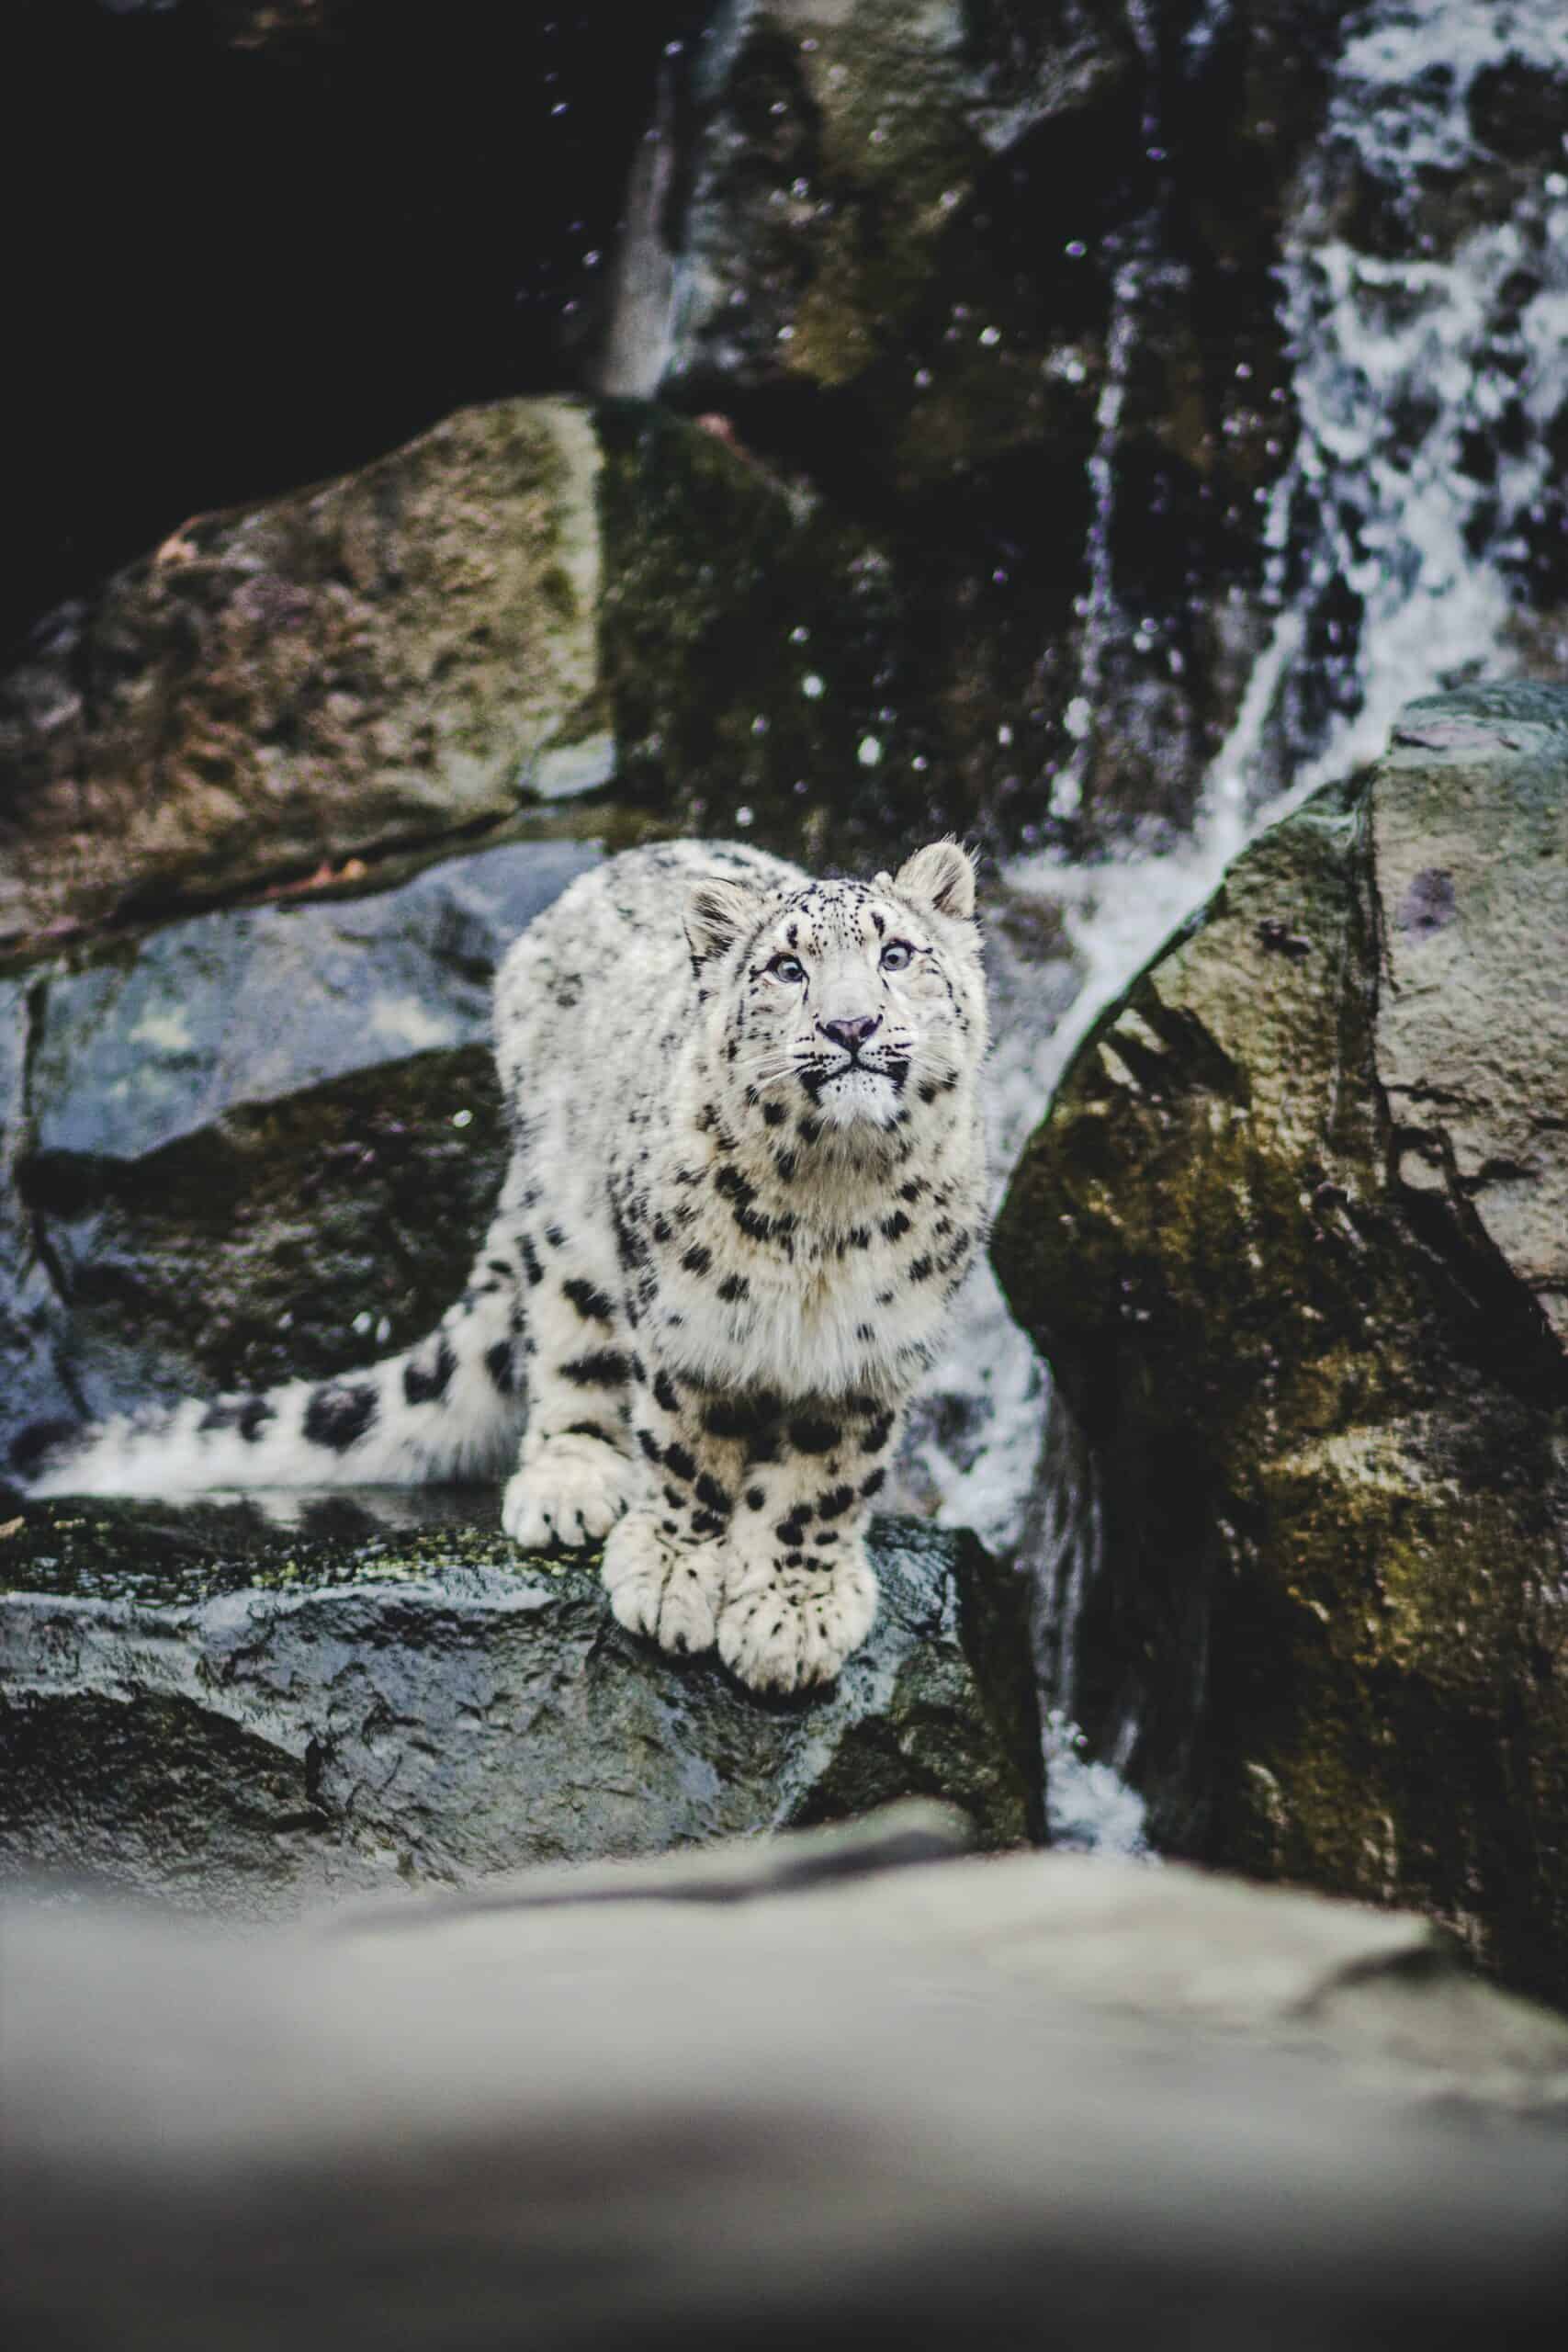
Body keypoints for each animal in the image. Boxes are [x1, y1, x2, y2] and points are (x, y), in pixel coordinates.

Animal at [24, 846, 987, 1693]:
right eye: (787, 968)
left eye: (897, 955)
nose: (851, 1026)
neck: (830, 1207)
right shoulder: (687, 1323)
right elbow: (687, 1447)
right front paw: (674, 1574)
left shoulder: (870, 1352)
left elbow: (822, 1485)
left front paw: (793, 1614)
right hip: (570, 1229)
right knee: (569, 1346)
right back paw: (569, 1483)